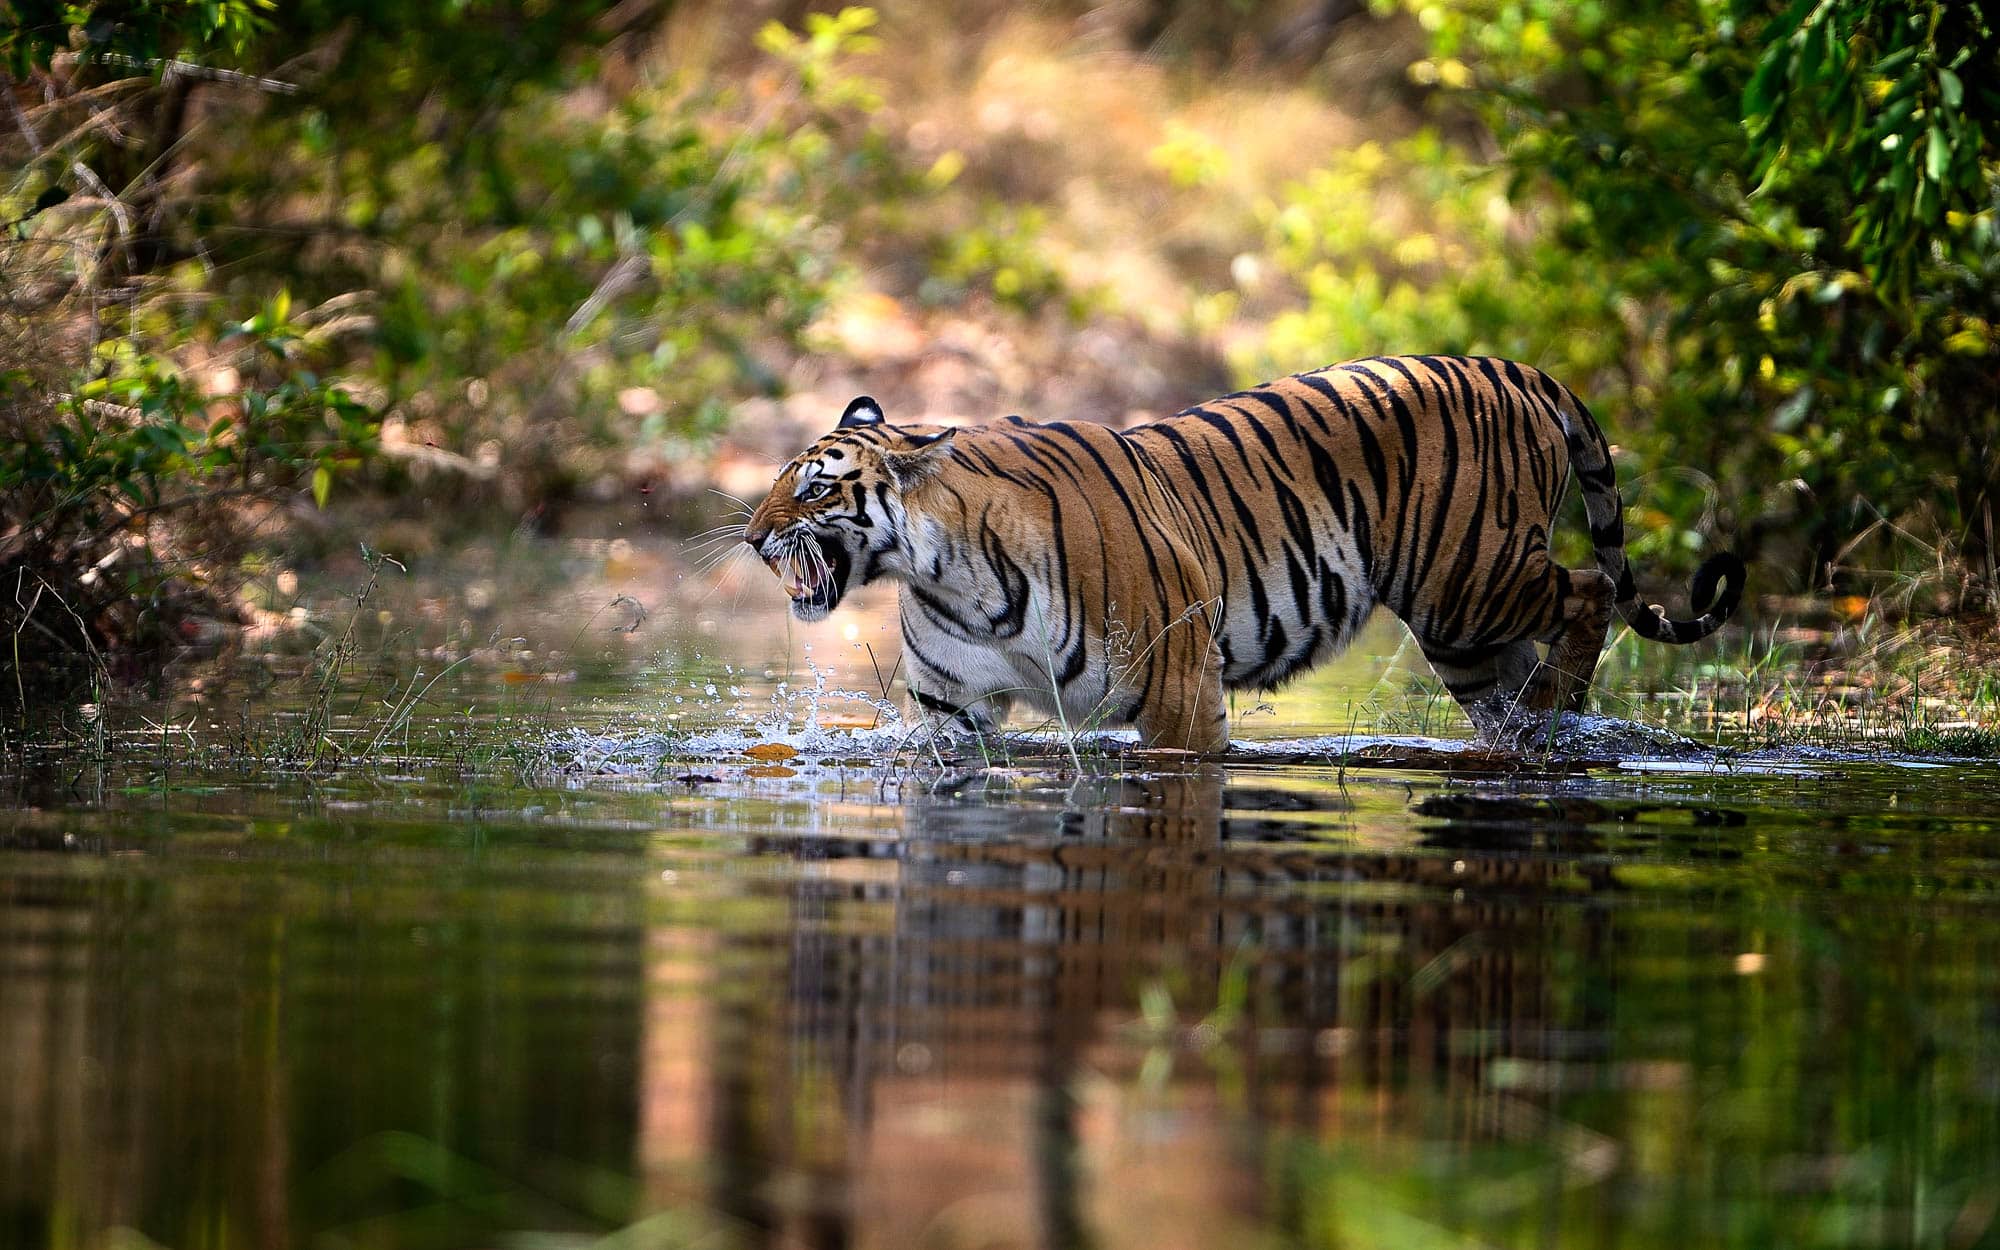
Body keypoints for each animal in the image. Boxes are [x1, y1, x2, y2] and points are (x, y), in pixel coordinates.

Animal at [741, 355, 1743, 753]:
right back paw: (1536, 730)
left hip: (1472, 578)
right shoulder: (955, 709)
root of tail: (1512, 367)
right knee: (1518, 680)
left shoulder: (1179, 682)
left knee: (1588, 589)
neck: (949, 577)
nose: (751, 538)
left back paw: (1561, 713)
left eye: (816, 488)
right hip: (1465, 637)